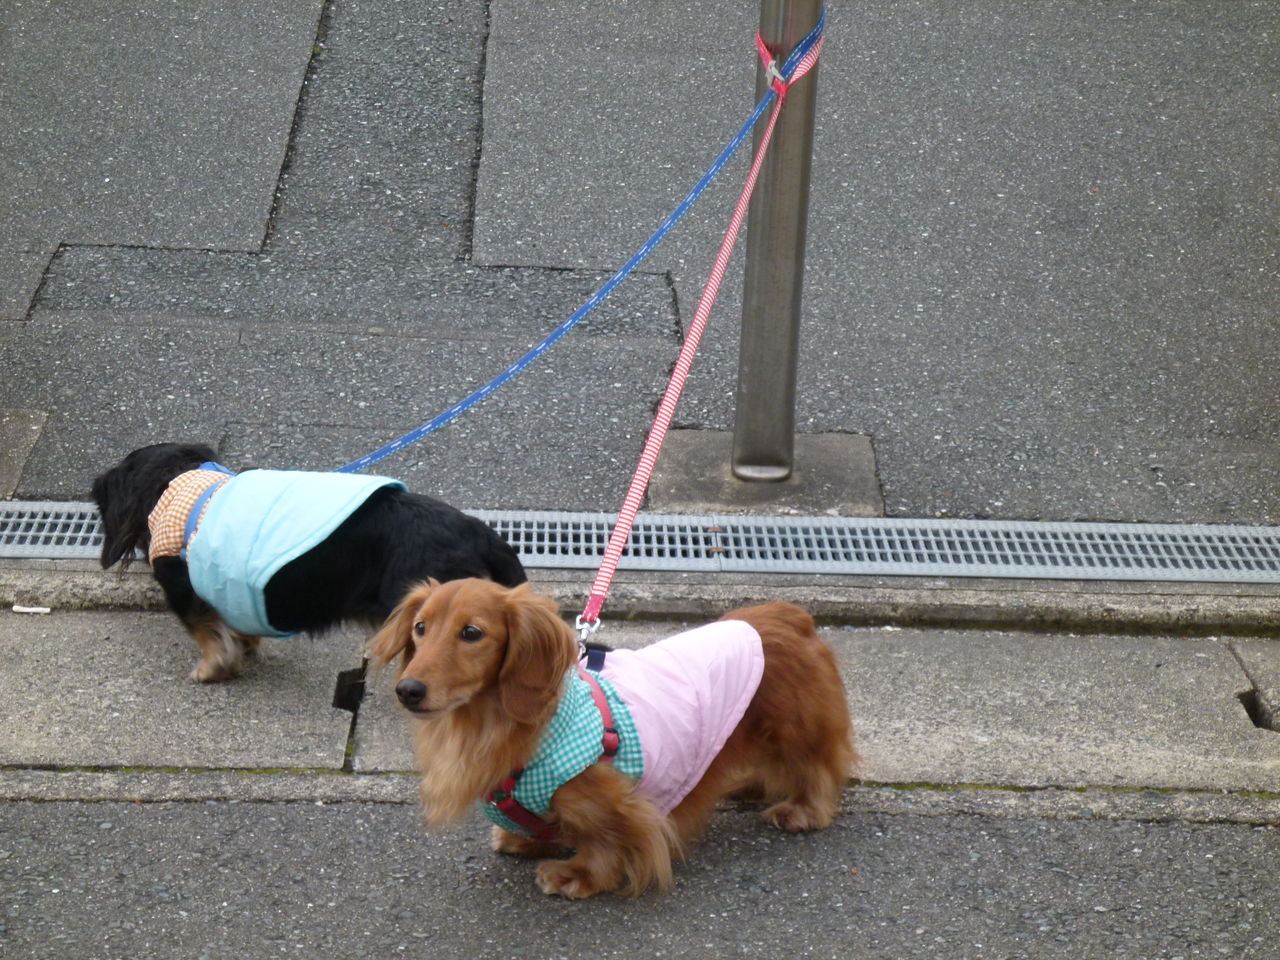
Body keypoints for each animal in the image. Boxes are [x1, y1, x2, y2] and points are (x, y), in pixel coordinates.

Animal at [92, 442, 527, 682]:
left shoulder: (185, 593)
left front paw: (212, 669)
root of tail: (480, 531)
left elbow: (207, 633)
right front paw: (243, 650)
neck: (179, 489)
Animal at [368, 577, 856, 899]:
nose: (408, 690)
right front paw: (525, 839)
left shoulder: (616, 804)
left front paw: (575, 875)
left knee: (817, 768)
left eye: (471, 633)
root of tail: (786, 615)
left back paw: (802, 810)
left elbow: (605, 840)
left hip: (796, 728)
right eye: (420, 627)